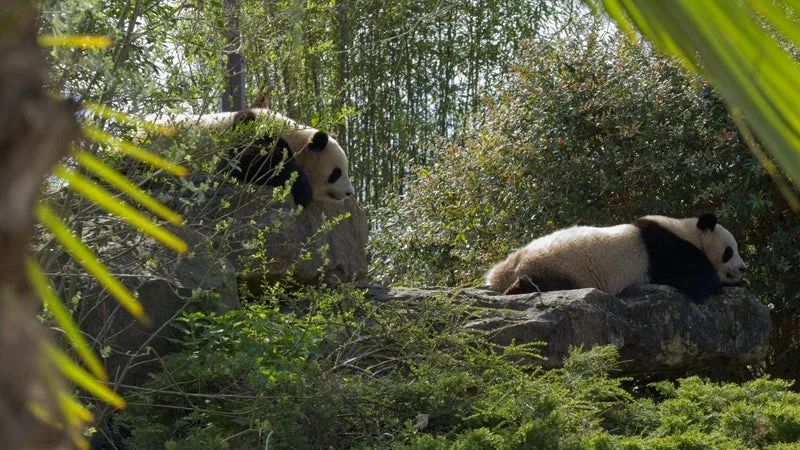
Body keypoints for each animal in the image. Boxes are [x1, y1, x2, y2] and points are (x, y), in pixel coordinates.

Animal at [485, 213, 747, 302]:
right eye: (729, 252)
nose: (743, 268)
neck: (690, 232)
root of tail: (502, 272)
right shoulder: (667, 250)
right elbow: (698, 282)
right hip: (559, 267)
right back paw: (517, 288)